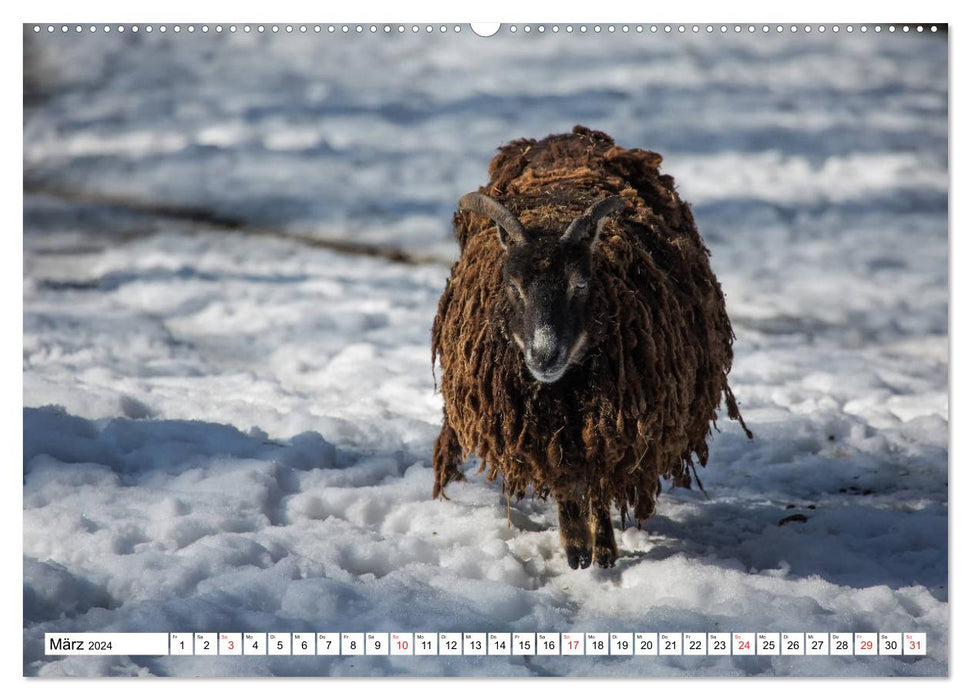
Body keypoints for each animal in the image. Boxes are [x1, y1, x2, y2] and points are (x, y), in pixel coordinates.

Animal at [432, 126, 752, 572]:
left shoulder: (611, 425)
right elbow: (566, 485)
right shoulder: (541, 427)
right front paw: (576, 551)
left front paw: (602, 553)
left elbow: (599, 484)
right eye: (512, 285)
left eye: (580, 285)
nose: (544, 356)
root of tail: (563, 135)